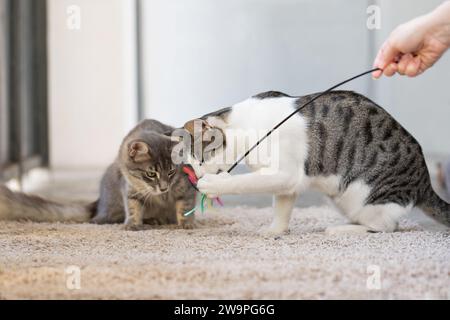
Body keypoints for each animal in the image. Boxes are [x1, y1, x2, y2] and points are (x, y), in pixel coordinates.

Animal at [0, 119, 197, 229]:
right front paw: (133, 224)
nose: (164, 188)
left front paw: (186, 223)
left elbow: (185, 207)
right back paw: (151, 220)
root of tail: (98, 204)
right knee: (102, 219)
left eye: (171, 171)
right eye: (151, 174)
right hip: (112, 202)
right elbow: (133, 208)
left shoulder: (186, 188)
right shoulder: (130, 189)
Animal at [182, 90, 450, 235]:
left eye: (201, 159)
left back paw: (340, 230)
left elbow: (244, 182)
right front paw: (274, 231)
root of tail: (425, 181)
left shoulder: (285, 172)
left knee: (385, 227)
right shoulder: (288, 183)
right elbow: (281, 207)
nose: (196, 179)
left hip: (364, 195)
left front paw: (215, 183)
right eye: (191, 166)